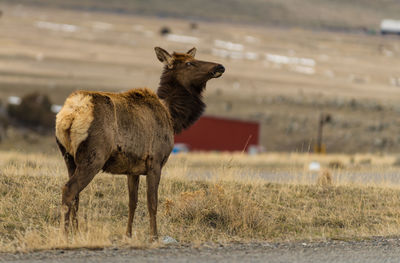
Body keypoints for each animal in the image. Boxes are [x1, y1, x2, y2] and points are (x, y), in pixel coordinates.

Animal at [54, 46, 225, 240]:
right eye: (189, 63)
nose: (220, 66)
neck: (171, 116)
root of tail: (70, 115)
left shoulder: (132, 168)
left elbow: (132, 202)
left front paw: (128, 234)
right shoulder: (155, 161)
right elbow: (152, 202)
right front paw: (154, 236)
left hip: (69, 157)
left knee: (76, 194)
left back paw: (77, 232)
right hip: (94, 156)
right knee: (69, 189)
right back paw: (65, 235)